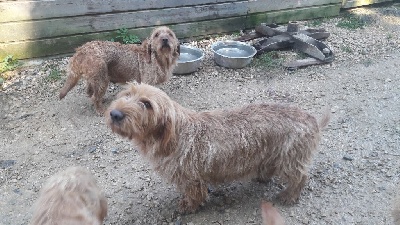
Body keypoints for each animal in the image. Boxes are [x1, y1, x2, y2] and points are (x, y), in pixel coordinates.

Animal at [104, 83, 330, 213]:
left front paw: (188, 207)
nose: (114, 114)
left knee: (301, 177)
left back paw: (289, 196)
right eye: (127, 93)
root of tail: (312, 120)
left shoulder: (191, 179)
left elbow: (194, 195)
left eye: (147, 104)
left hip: (290, 159)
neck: (175, 134)